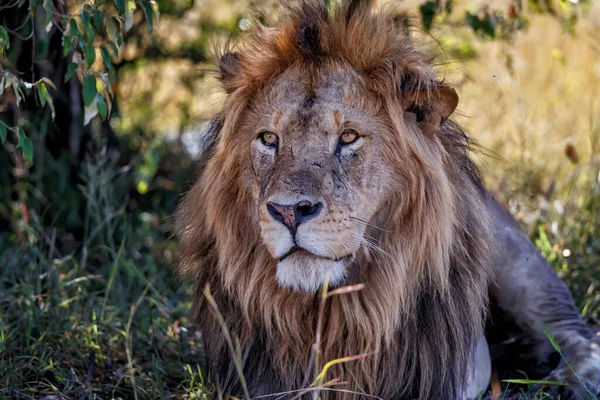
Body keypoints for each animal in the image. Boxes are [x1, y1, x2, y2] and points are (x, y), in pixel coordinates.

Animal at [173, 1, 600, 398]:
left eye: (348, 137)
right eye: (268, 139)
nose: (289, 212)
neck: (325, 315)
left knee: (578, 331)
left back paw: (572, 382)